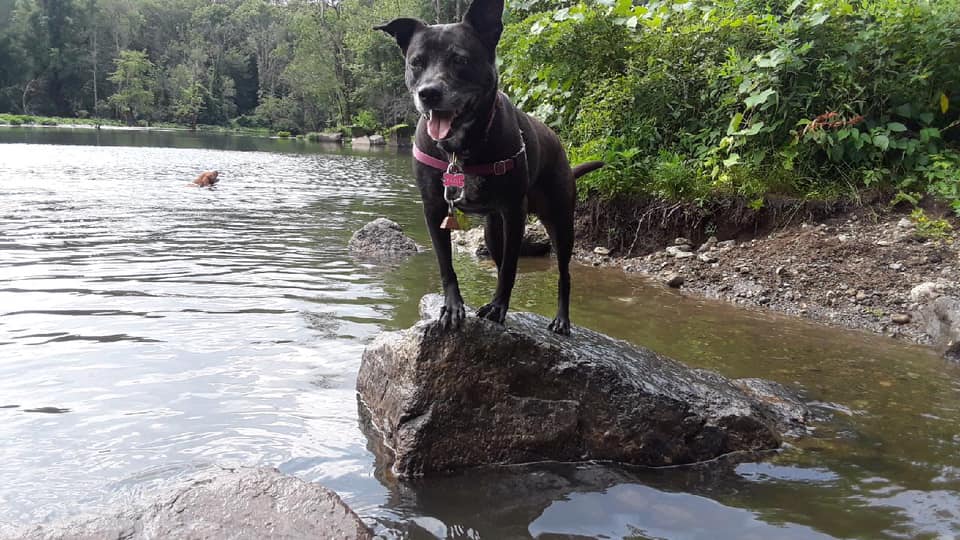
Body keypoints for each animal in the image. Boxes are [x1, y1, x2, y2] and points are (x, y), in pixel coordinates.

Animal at [376, 0, 600, 336]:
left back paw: (561, 320)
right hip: (494, 231)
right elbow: (446, 265)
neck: (459, 149)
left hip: (559, 223)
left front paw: (497, 308)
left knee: (563, 274)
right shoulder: (434, 209)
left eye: (459, 59)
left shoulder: (514, 211)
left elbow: (509, 269)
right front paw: (453, 307)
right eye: (416, 62)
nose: (428, 93)